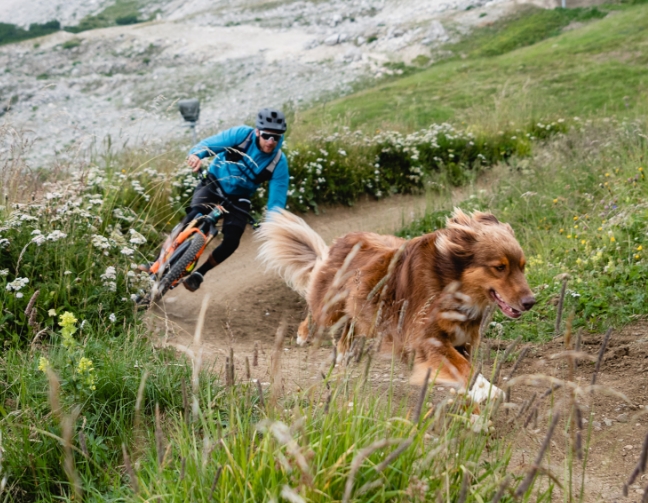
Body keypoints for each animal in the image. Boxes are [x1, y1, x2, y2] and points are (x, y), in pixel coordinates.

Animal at [256, 209, 536, 398]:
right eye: (499, 267)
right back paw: (304, 335)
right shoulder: (424, 339)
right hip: (329, 307)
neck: (451, 282)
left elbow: (465, 368)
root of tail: (340, 241)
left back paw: (345, 353)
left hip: (363, 307)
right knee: (315, 312)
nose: (531, 302)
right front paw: (487, 392)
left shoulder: (461, 341)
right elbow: (463, 368)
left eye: (522, 267)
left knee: (350, 327)